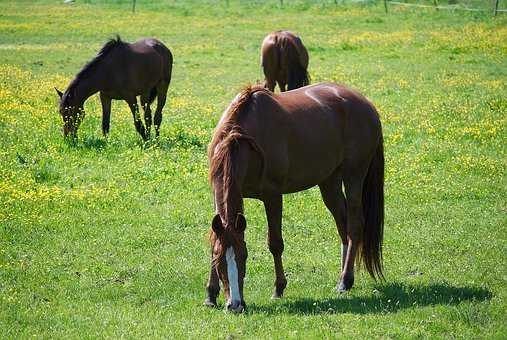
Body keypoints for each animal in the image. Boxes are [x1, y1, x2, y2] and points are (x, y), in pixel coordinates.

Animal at [204, 83, 382, 314]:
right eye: (219, 260)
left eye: (244, 256)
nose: (235, 305)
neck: (242, 137)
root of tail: (366, 104)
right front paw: (210, 295)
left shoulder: (272, 196)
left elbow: (275, 243)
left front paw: (279, 288)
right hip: (329, 181)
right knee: (342, 225)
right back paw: (344, 277)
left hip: (354, 175)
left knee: (354, 225)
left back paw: (345, 281)